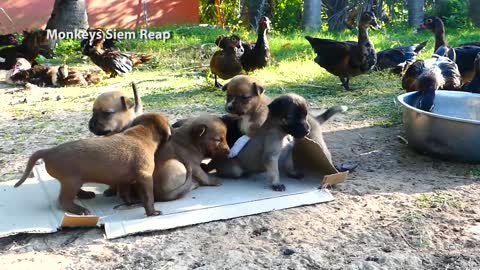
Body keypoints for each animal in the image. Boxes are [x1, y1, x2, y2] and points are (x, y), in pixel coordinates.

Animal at [14, 113, 172, 216]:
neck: (143, 132)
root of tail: (49, 151)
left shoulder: (124, 179)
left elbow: (125, 193)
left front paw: (129, 202)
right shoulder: (145, 177)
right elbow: (149, 198)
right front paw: (152, 212)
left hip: (72, 181)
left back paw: (86, 195)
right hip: (72, 181)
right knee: (63, 201)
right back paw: (79, 210)